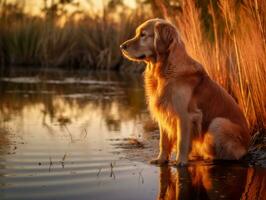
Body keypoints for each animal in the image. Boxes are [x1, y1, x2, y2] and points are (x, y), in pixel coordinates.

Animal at [119, 18, 250, 166]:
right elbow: (163, 142)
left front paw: (180, 161)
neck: (165, 69)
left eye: (143, 35)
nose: (121, 46)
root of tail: (248, 145)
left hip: (219, 123)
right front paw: (161, 159)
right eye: (137, 33)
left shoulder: (185, 115)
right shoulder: (164, 112)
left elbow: (182, 141)